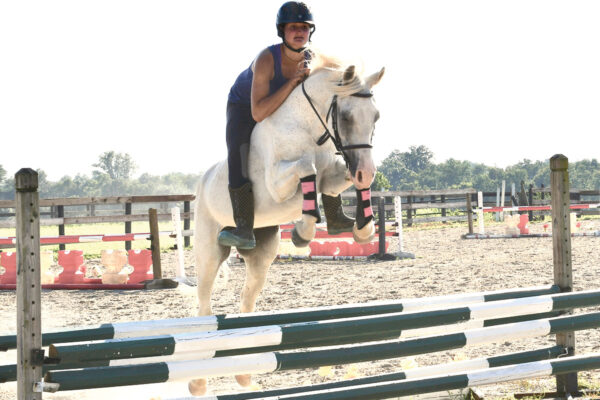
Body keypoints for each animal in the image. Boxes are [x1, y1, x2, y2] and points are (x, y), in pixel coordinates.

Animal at [192, 57, 384, 396]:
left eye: (375, 116)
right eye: (346, 116)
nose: (366, 170)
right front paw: (303, 232)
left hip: (261, 255)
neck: (310, 127)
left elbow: (331, 181)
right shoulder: (279, 183)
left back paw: (244, 376)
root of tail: (202, 181)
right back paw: (199, 383)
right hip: (209, 252)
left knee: (247, 301)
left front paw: (360, 227)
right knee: (204, 307)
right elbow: (308, 170)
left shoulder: (335, 169)